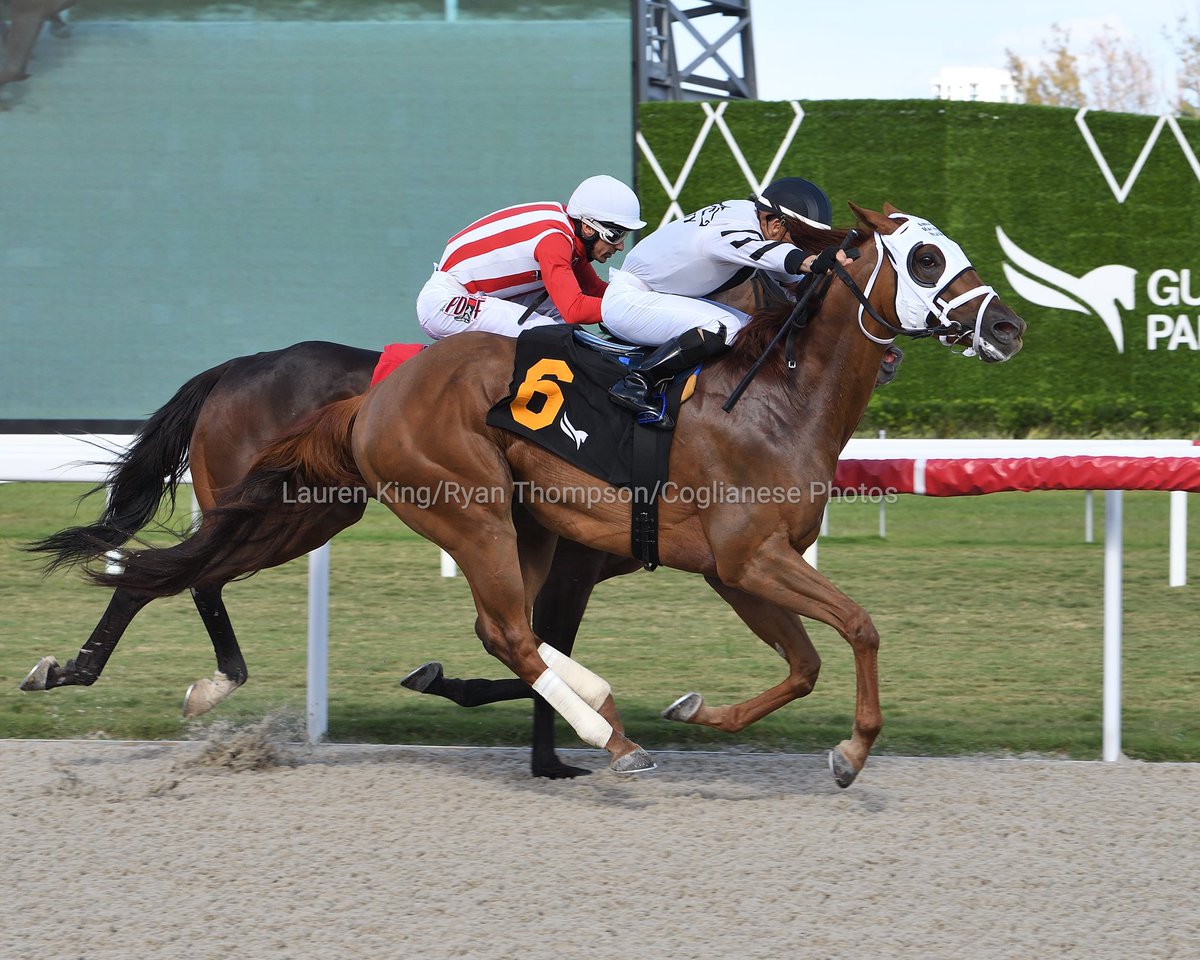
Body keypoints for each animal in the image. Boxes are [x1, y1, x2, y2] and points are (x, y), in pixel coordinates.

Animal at [79, 206, 1027, 782]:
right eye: (925, 257)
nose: (1010, 325)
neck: (770, 395)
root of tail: (367, 399)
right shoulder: (742, 558)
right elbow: (859, 629)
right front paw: (852, 751)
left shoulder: (736, 568)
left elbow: (803, 664)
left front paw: (700, 710)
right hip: (459, 510)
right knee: (500, 629)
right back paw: (608, 729)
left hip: (347, 512)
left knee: (181, 569)